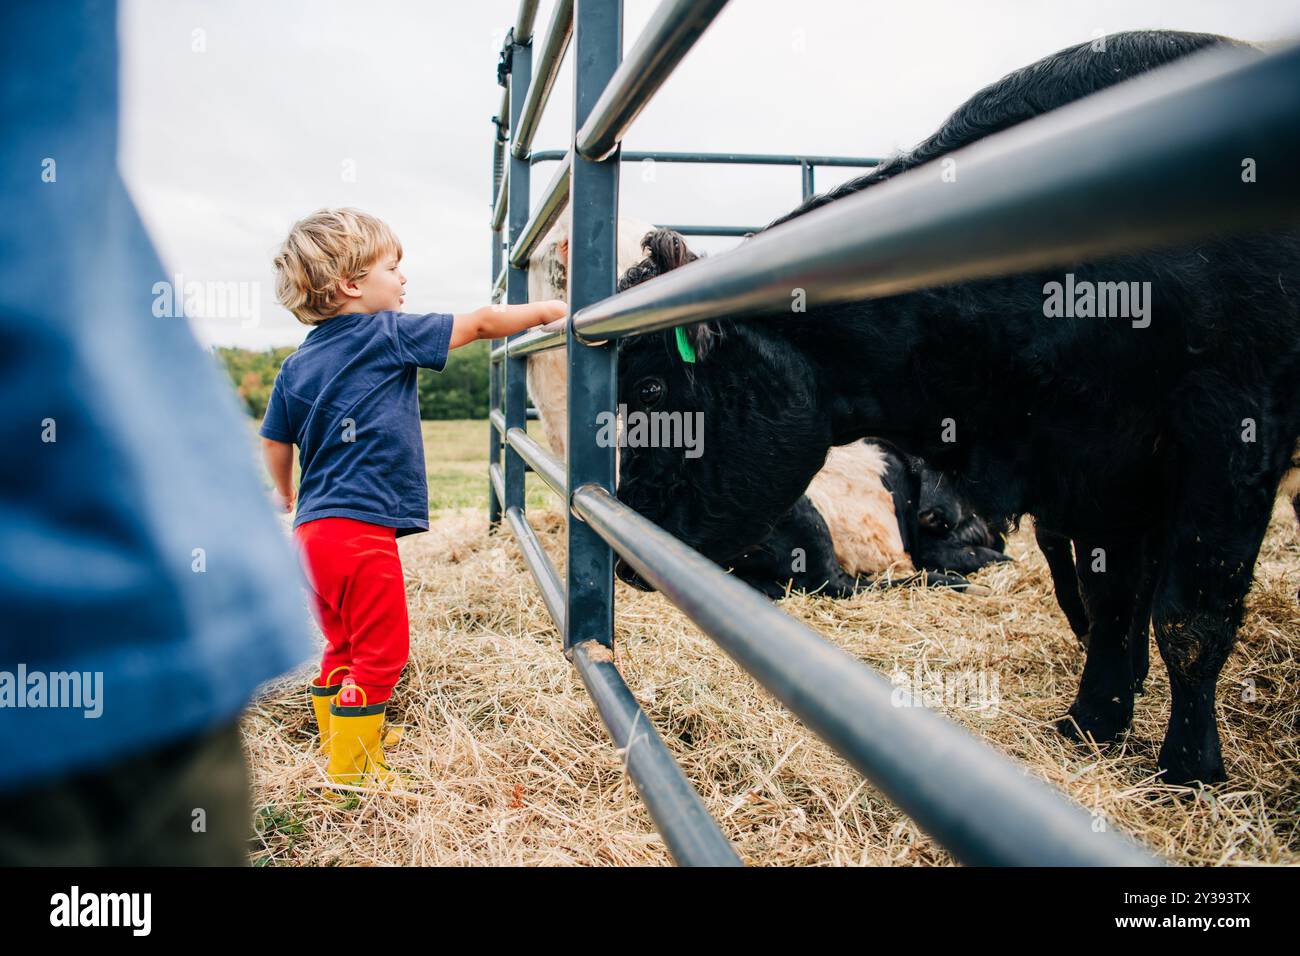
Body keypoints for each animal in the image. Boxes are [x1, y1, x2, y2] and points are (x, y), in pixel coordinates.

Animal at [611, 33, 1300, 790]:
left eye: (650, 389)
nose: (622, 549)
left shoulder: (1229, 430)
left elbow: (1190, 616)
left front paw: (1189, 766)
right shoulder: (1101, 470)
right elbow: (1113, 600)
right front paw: (1094, 722)